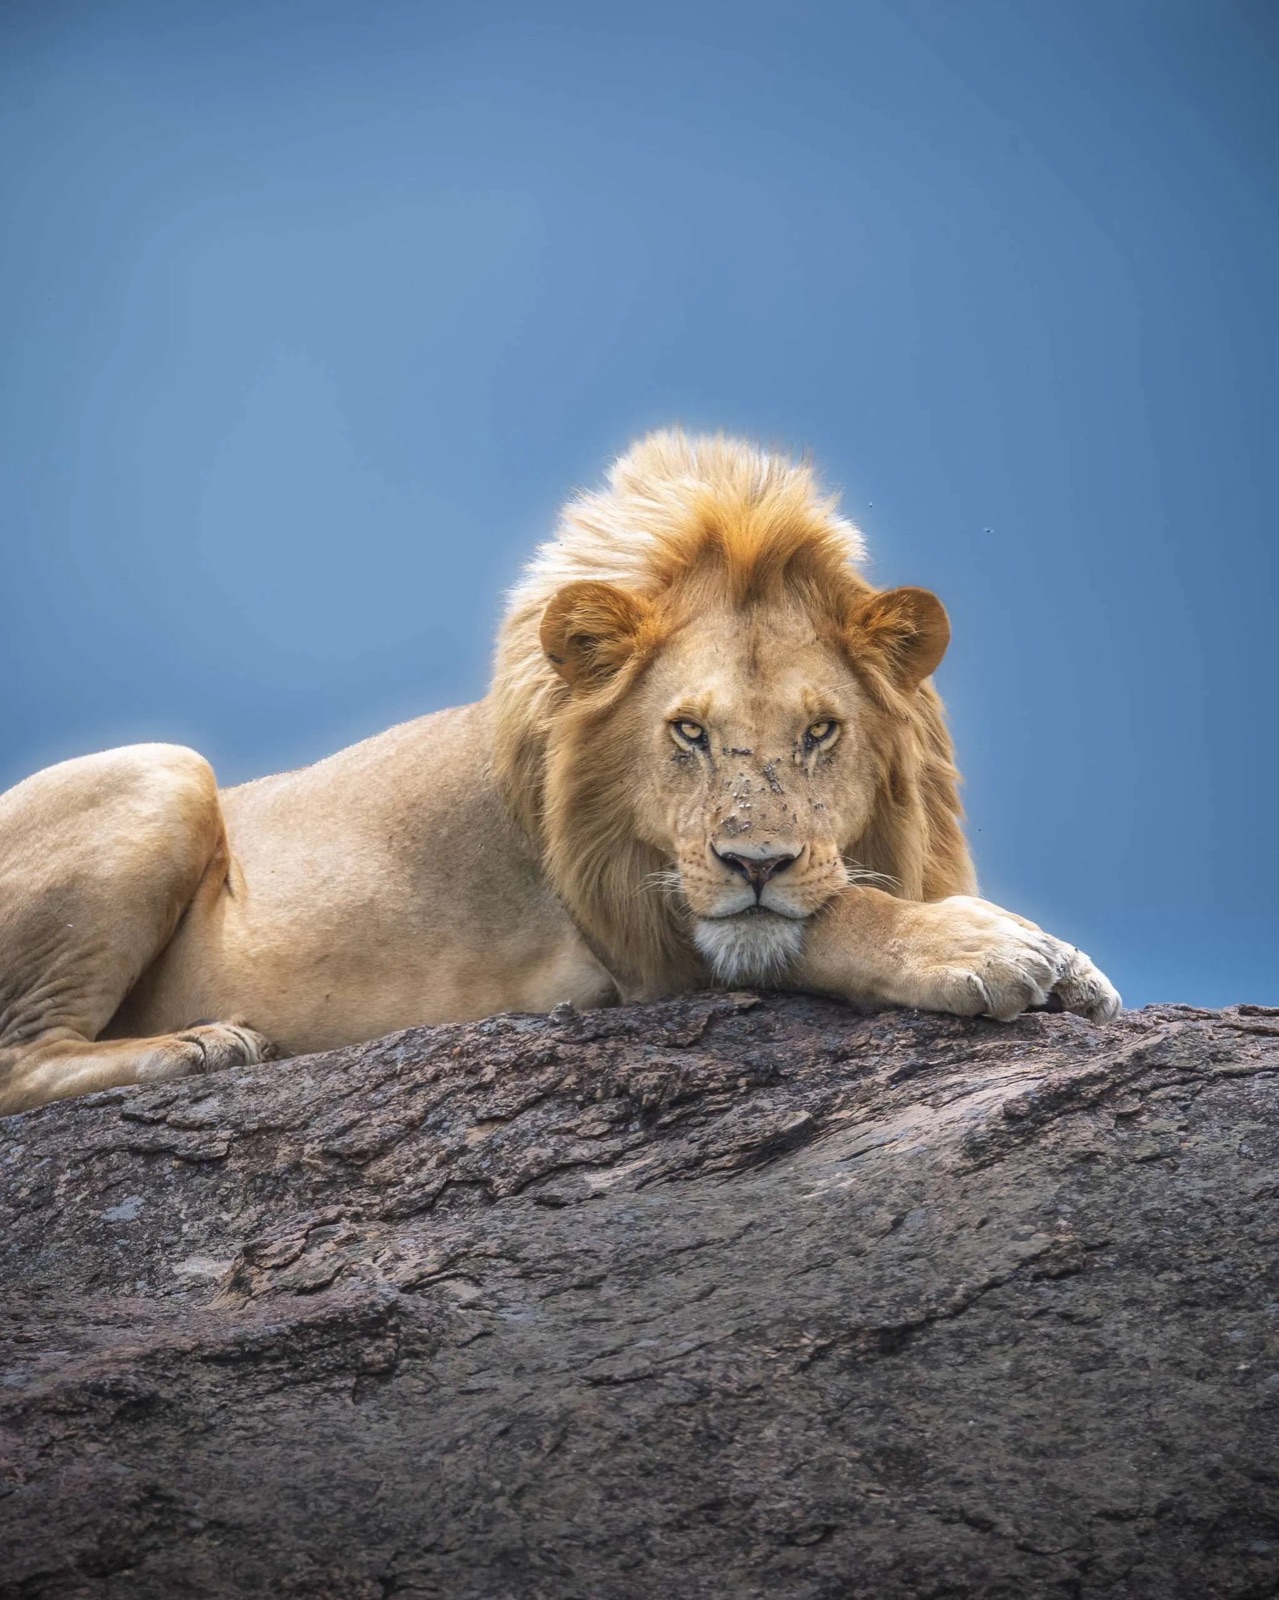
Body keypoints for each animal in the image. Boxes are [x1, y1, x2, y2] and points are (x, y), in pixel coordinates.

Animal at [0, 431, 1119, 1114]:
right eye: (687, 731)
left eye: (819, 731)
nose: (755, 862)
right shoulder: (641, 931)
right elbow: (830, 915)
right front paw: (981, 948)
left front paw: (1065, 961)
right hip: (165, 768)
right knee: (16, 1060)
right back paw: (204, 1048)